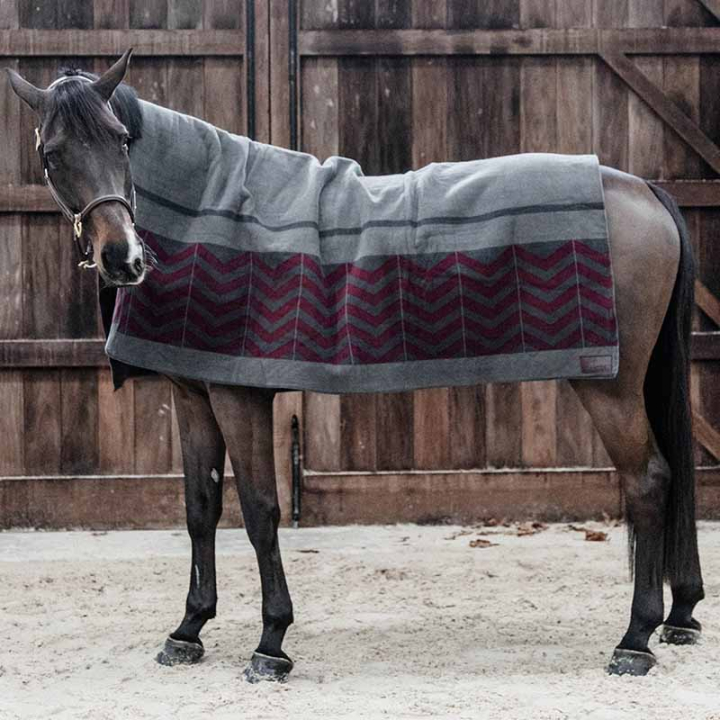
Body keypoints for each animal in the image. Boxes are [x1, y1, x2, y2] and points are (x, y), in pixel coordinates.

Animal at [6, 49, 704, 682]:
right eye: (53, 154)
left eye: (123, 141)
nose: (123, 258)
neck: (209, 206)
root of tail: (640, 189)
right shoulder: (192, 392)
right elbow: (200, 508)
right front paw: (188, 629)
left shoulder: (238, 395)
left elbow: (260, 510)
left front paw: (271, 643)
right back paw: (678, 616)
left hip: (610, 387)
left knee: (649, 481)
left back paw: (635, 640)